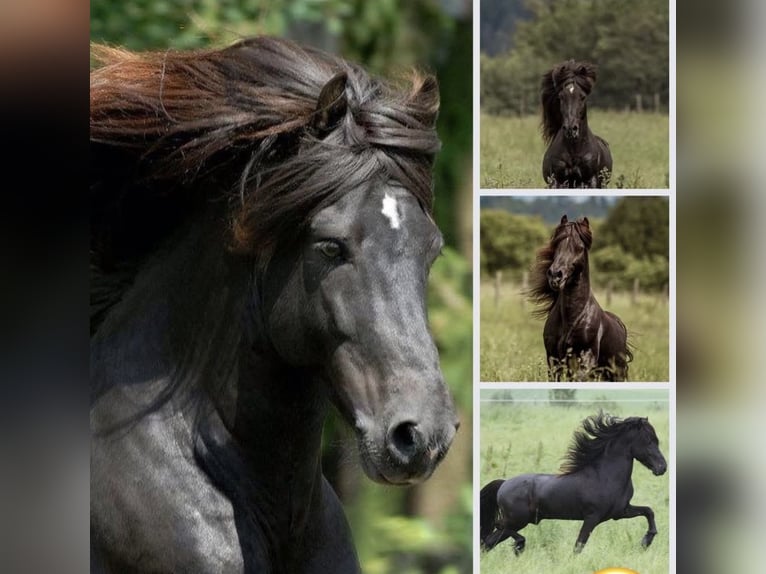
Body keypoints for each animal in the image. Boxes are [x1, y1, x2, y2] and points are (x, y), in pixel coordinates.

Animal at [480, 412, 667, 554]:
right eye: (649, 441)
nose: (662, 468)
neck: (605, 476)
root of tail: (503, 484)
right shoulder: (592, 517)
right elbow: (579, 546)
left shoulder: (620, 512)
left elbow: (648, 511)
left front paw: (646, 542)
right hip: (518, 519)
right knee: (497, 528)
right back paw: (520, 544)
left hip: (518, 521)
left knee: (488, 543)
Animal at [528, 214, 632, 381]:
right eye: (557, 244)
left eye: (580, 248)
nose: (555, 275)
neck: (571, 318)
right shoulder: (553, 360)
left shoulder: (585, 359)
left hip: (617, 373)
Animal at [540, 60, 613, 188]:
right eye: (561, 97)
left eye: (582, 97)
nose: (570, 129)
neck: (573, 151)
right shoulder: (556, 181)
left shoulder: (591, 181)